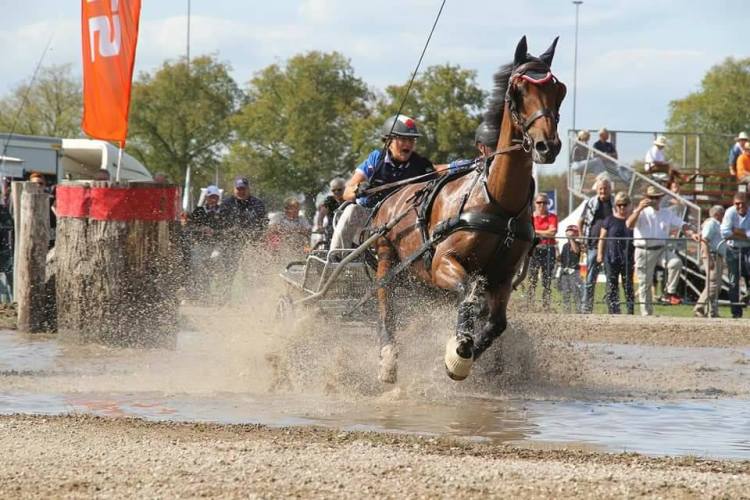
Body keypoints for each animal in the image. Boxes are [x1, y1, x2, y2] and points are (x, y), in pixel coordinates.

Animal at [369, 36, 567, 383]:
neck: (497, 202)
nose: (548, 146)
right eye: (519, 90)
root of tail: (391, 195)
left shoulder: (502, 276)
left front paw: (467, 354)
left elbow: (497, 322)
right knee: (385, 307)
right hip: (387, 259)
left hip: (418, 278)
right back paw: (388, 359)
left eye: (559, 90)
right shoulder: (442, 263)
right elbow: (469, 297)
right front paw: (458, 351)